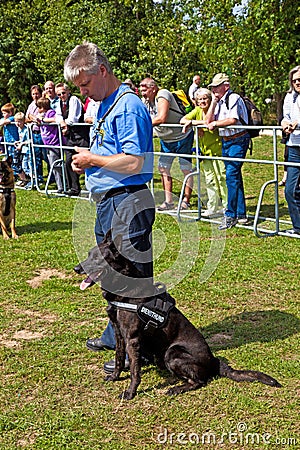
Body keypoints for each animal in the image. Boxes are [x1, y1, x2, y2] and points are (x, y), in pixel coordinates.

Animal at [75, 230, 282, 400]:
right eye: (88, 255)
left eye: (97, 259)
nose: (76, 269)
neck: (123, 286)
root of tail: (214, 361)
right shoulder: (119, 334)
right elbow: (119, 359)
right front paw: (114, 377)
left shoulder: (132, 339)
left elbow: (135, 371)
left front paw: (131, 392)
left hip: (172, 352)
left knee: (199, 381)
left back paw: (177, 388)